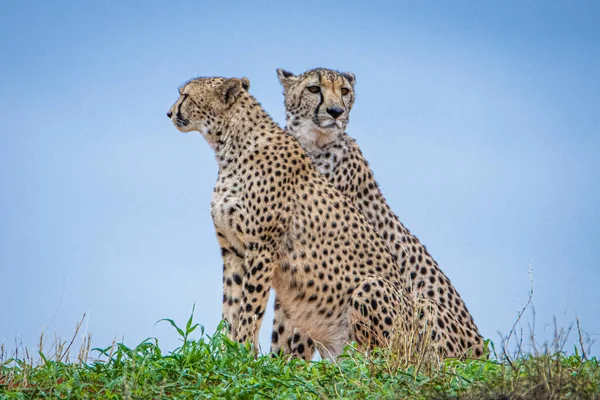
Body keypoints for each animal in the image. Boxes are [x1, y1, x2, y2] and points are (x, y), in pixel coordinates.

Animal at [169, 76, 422, 360]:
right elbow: (230, 307)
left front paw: (244, 352)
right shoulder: (233, 251)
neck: (229, 148)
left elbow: (250, 308)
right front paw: (228, 352)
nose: (169, 113)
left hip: (372, 291)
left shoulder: (262, 249)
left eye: (185, 96)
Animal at [274, 68, 486, 360]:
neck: (314, 146)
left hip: (422, 311)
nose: (336, 111)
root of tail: (484, 352)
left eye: (344, 91)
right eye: (314, 89)